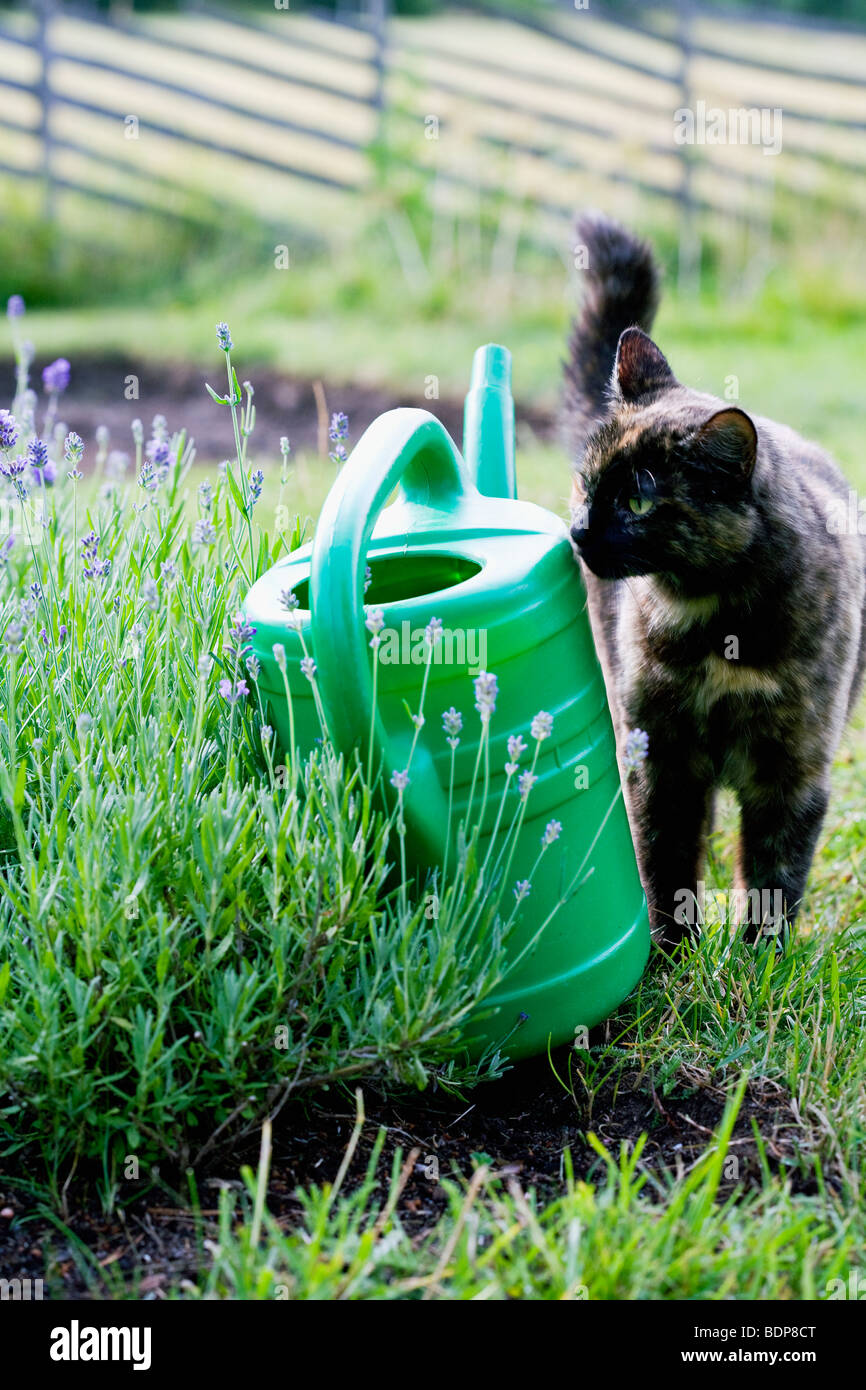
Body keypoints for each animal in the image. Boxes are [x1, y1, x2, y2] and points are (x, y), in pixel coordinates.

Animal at [561, 211, 866, 950]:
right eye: (587, 483)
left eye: (637, 501)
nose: (579, 532)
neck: (712, 625)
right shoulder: (659, 760)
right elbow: (664, 863)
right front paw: (670, 954)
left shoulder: (791, 772)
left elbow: (774, 877)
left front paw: (761, 963)